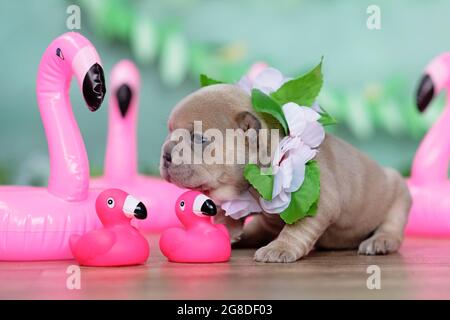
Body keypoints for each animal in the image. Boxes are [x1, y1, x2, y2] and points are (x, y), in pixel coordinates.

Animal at [161, 84, 412, 262]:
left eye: (199, 138)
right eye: (170, 131)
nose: (165, 154)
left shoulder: (316, 203)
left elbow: (296, 230)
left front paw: (280, 249)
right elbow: (227, 217)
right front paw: (223, 232)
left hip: (398, 193)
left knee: (392, 224)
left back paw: (380, 241)